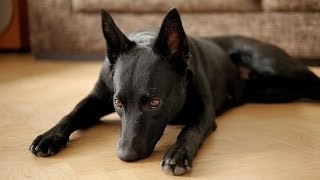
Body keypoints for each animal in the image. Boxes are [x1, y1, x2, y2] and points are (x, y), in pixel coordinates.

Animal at [29, 8, 320, 176]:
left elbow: (188, 131)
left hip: (269, 62)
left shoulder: (204, 113)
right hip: (268, 92)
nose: (125, 156)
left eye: (155, 103)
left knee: (313, 80)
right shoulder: (97, 98)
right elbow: (72, 113)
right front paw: (50, 136)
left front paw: (177, 154)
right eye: (118, 103)